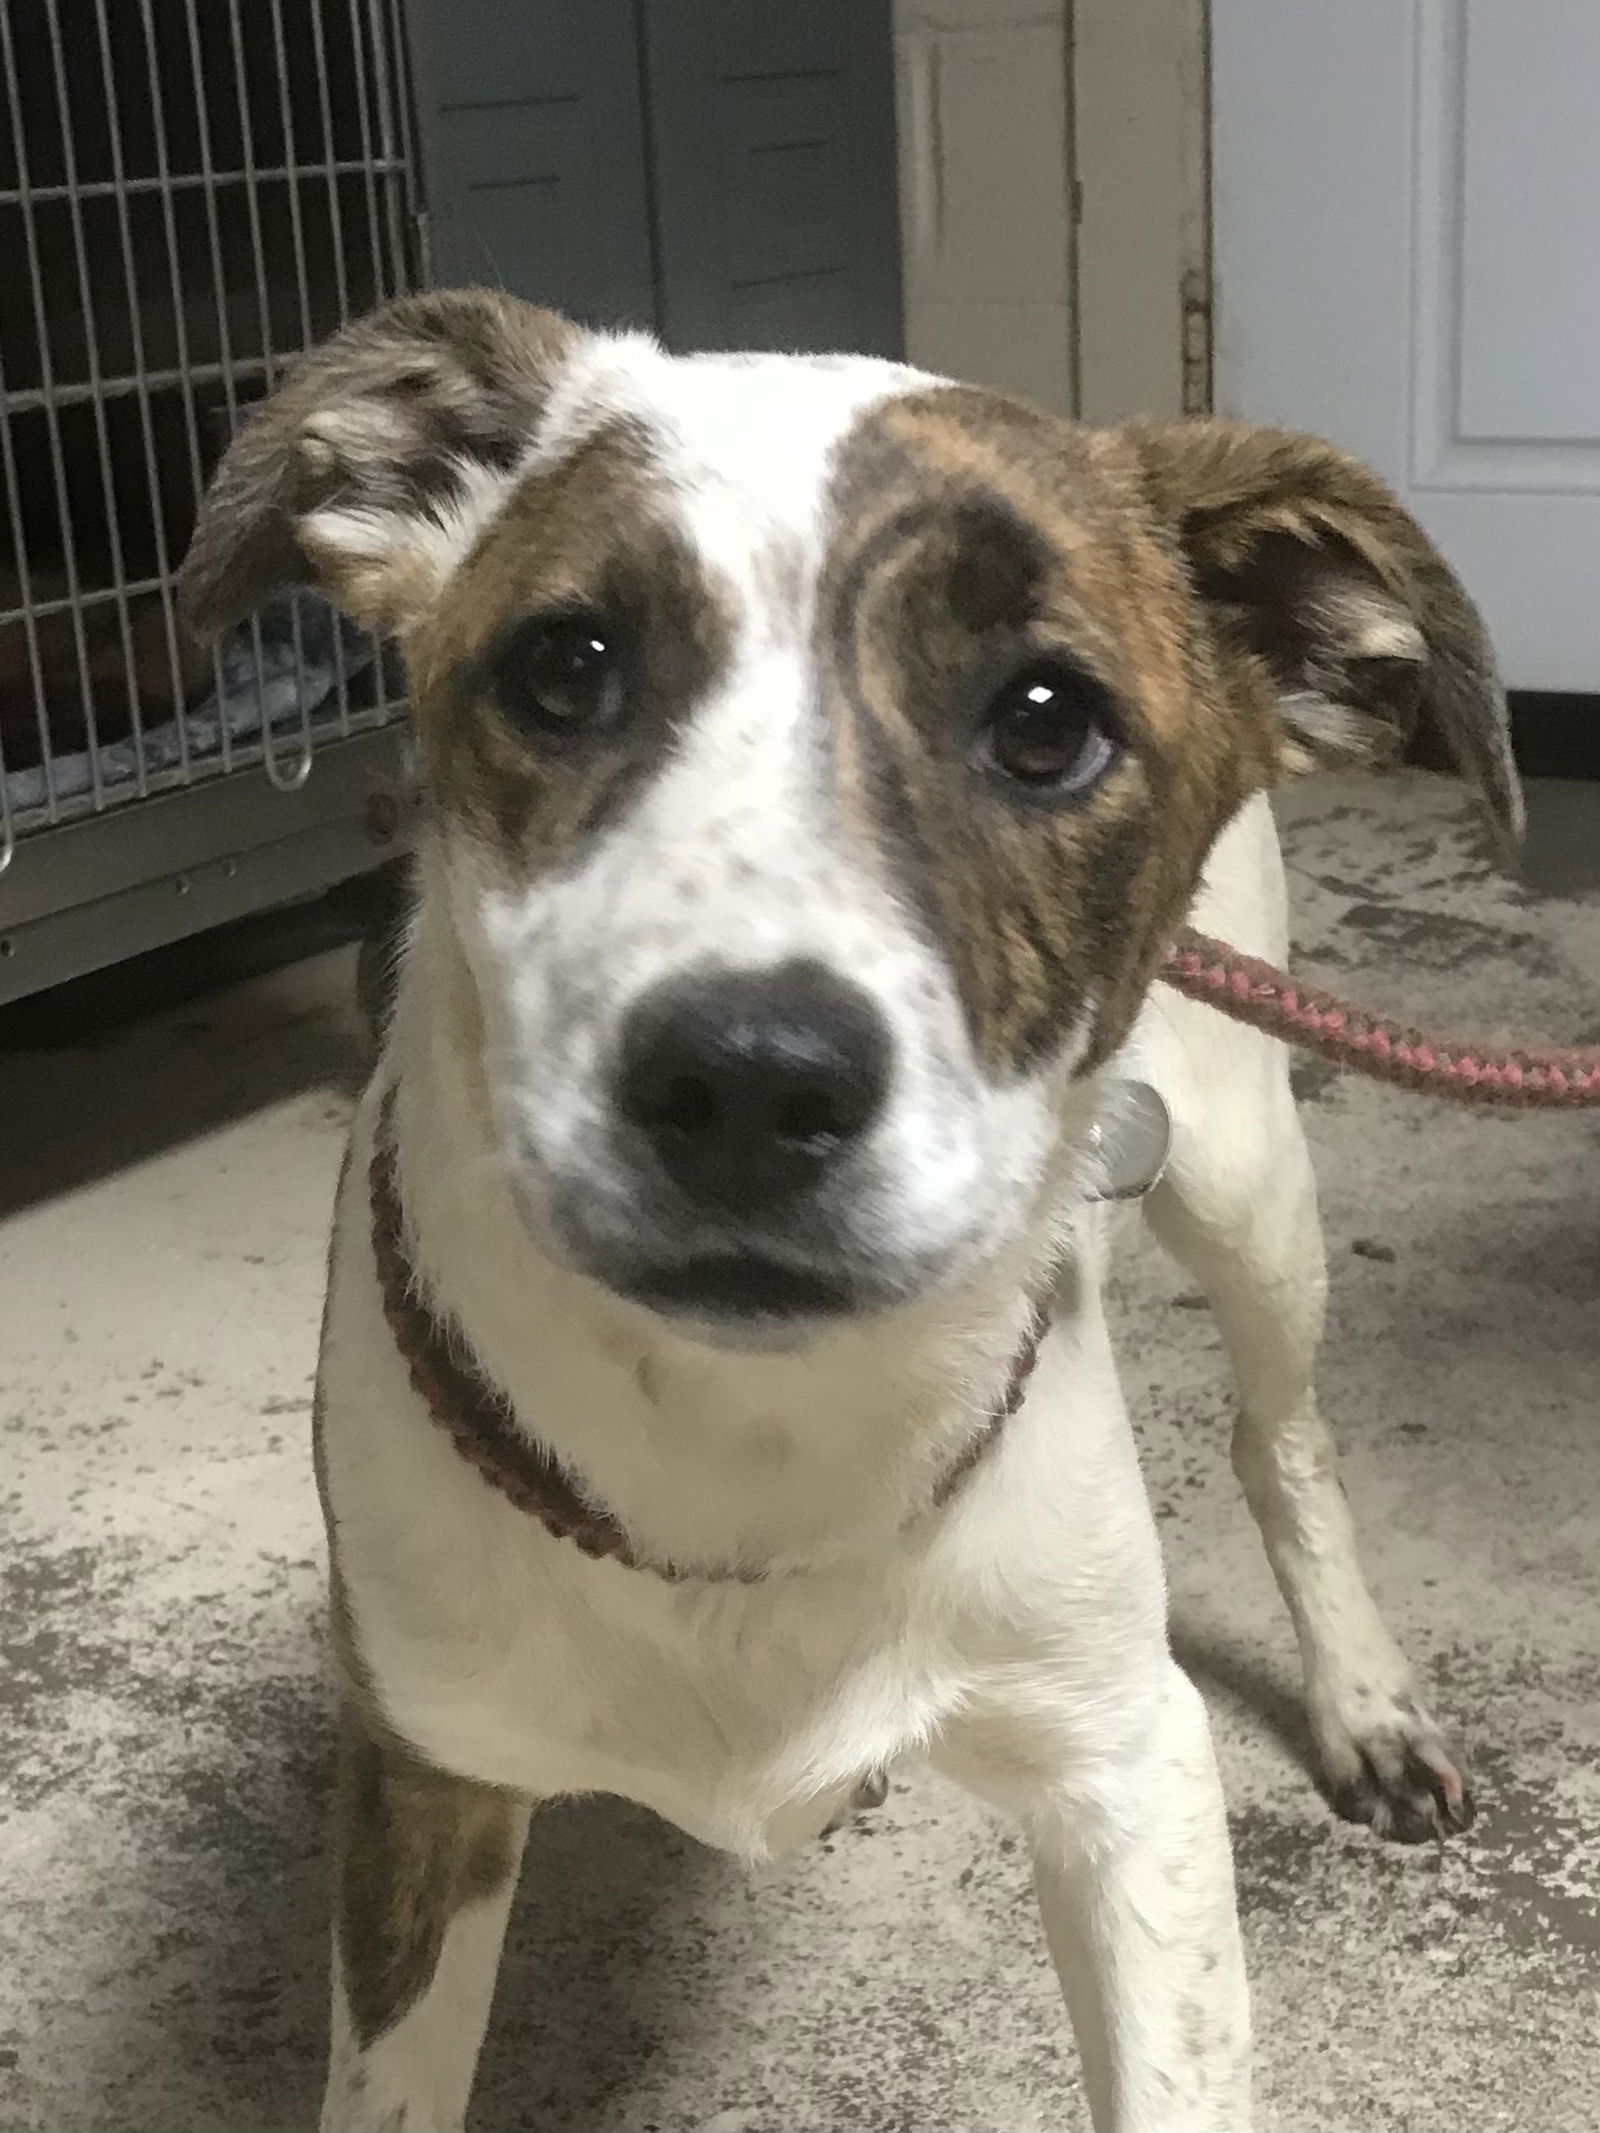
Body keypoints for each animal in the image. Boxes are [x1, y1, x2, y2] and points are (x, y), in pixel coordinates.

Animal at [181, 287, 1518, 2133]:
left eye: (1047, 717)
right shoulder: (421, 1775)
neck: (757, 1441)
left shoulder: (1132, 1765)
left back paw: (1366, 1700)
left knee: (1286, 1438)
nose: (747, 1080)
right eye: (563, 666)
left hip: (1248, 1177)